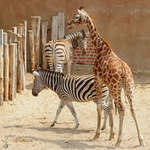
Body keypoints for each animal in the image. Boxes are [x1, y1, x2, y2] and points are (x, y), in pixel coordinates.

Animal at [67, 7, 145, 146]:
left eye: (76, 16)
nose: (68, 23)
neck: (100, 48)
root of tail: (125, 72)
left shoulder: (98, 79)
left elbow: (99, 106)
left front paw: (97, 134)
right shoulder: (107, 84)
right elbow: (110, 107)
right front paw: (110, 135)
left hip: (116, 87)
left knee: (122, 108)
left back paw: (119, 141)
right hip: (129, 88)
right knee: (132, 108)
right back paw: (140, 140)